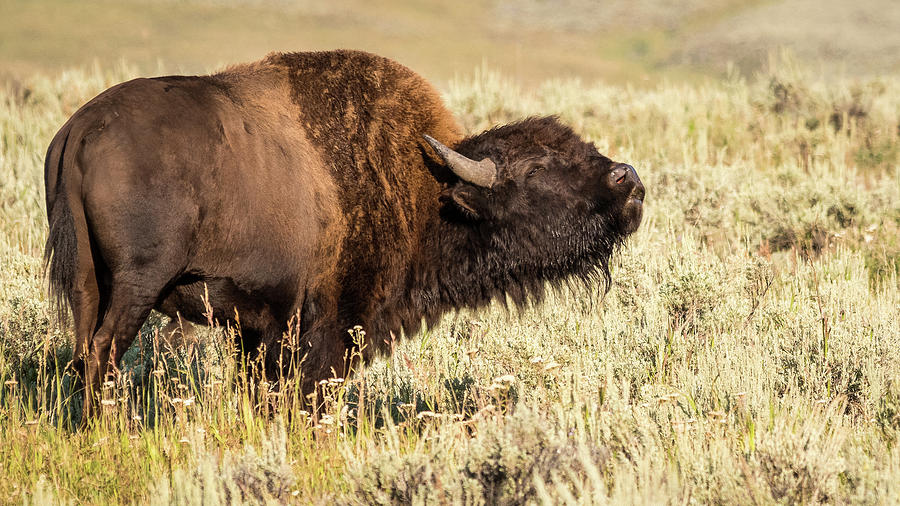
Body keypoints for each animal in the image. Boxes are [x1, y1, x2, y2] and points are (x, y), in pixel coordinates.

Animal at [45, 49, 644, 418]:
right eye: (539, 169)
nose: (629, 180)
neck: (430, 191)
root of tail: (81, 128)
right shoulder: (325, 326)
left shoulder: (256, 328)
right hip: (138, 285)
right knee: (103, 351)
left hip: (87, 282)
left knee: (83, 349)